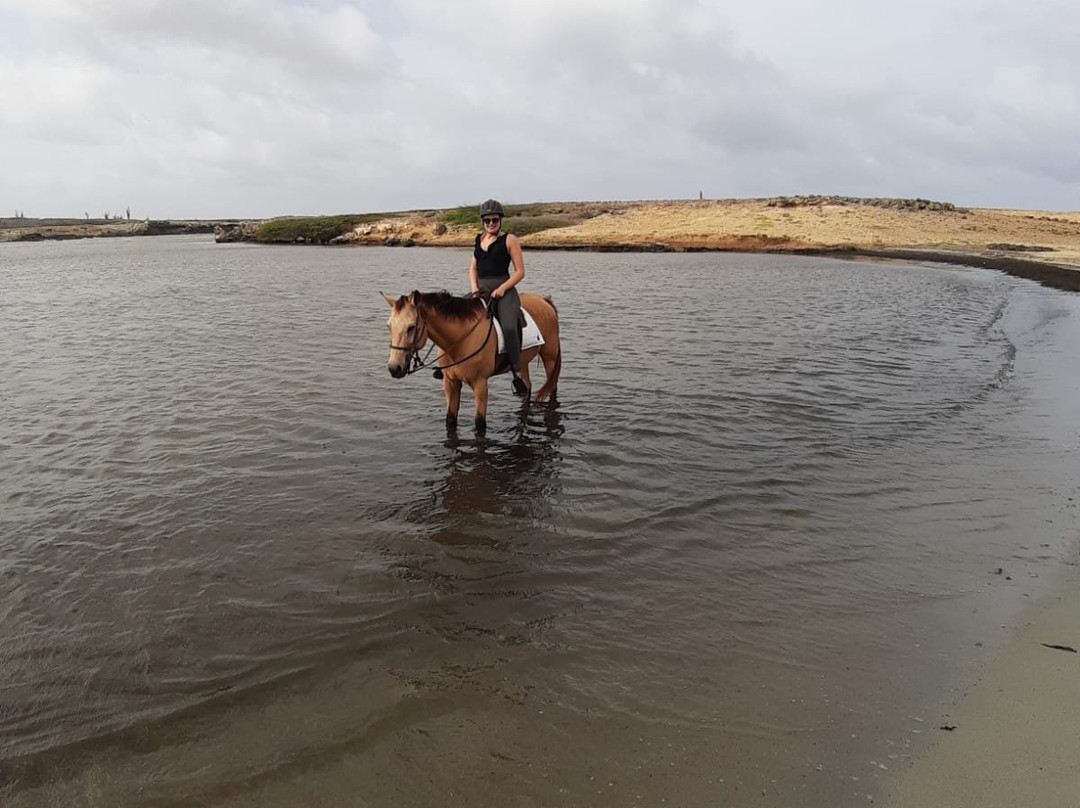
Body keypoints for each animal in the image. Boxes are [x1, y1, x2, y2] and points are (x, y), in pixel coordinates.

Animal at [382, 289, 565, 429]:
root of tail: (544, 300)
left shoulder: (480, 384)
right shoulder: (450, 382)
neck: (461, 340)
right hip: (522, 361)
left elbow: (479, 423)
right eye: (389, 326)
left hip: (550, 357)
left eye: (411, 327)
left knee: (552, 387)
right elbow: (450, 419)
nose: (394, 368)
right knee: (527, 388)